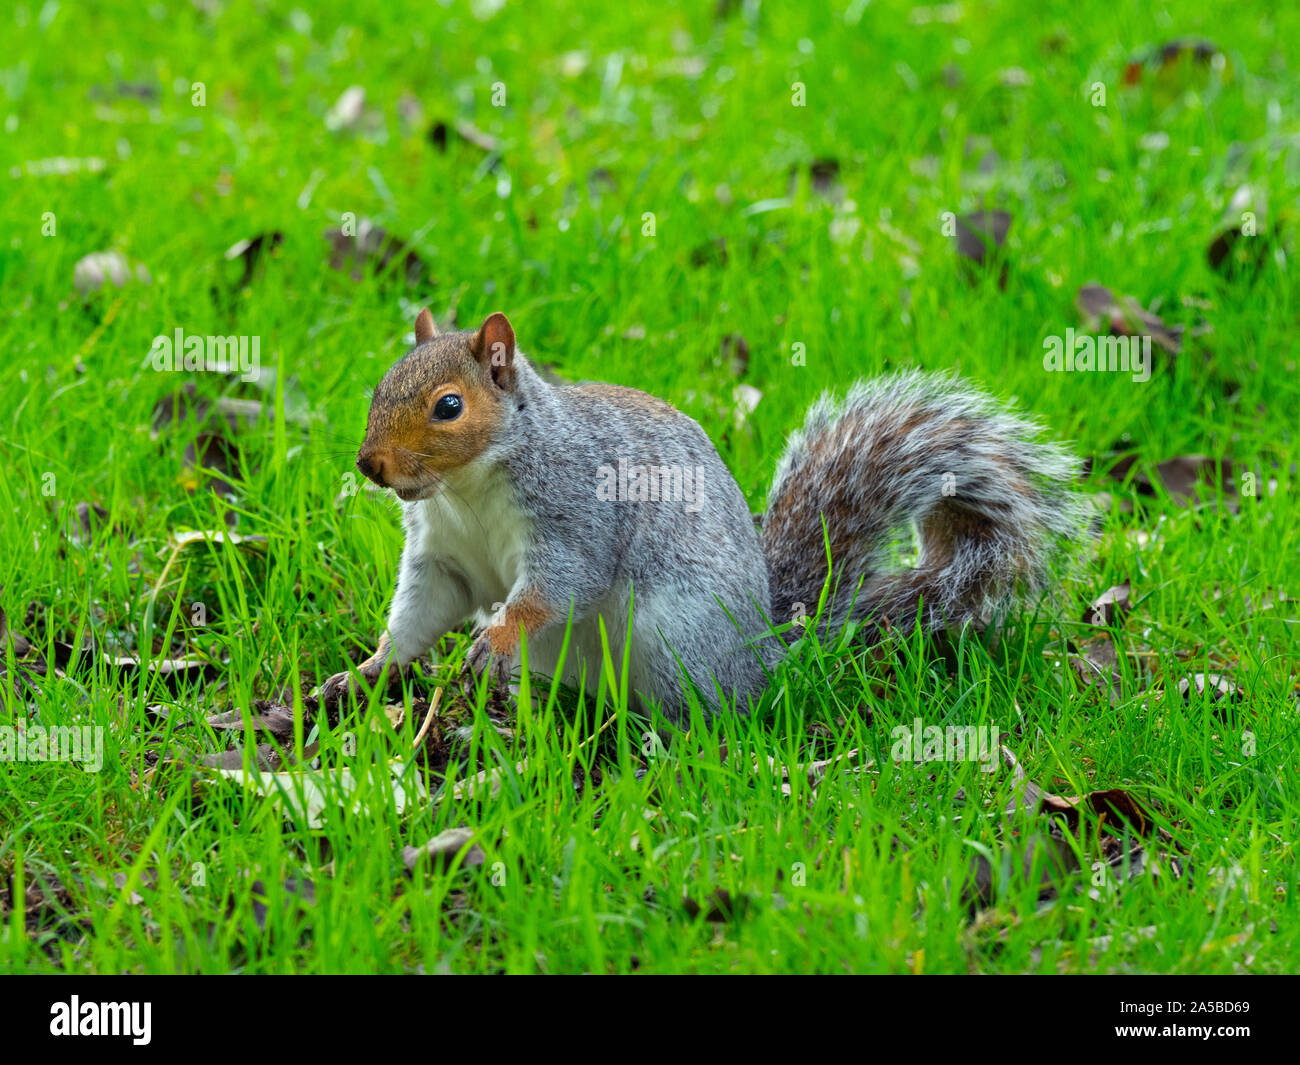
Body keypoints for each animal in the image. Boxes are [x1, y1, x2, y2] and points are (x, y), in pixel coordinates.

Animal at [321, 308, 1092, 720]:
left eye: (449, 406)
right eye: (381, 385)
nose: (370, 464)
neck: (467, 488)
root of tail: (765, 654)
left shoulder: (574, 517)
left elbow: (557, 588)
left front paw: (497, 636)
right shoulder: (443, 553)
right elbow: (422, 611)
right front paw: (369, 669)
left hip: (675, 639)